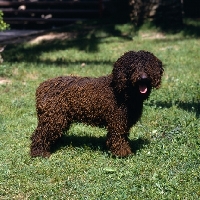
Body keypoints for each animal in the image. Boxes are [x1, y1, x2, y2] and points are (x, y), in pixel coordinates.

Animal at [30, 50, 163, 158]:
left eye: (148, 66)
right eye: (132, 67)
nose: (143, 78)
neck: (122, 91)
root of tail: (41, 87)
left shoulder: (123, 122)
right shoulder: (117, 122)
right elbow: (118, 139)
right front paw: (122, 154)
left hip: (59, 118)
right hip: (53, 118)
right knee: (39, 135)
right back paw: (39, 153)